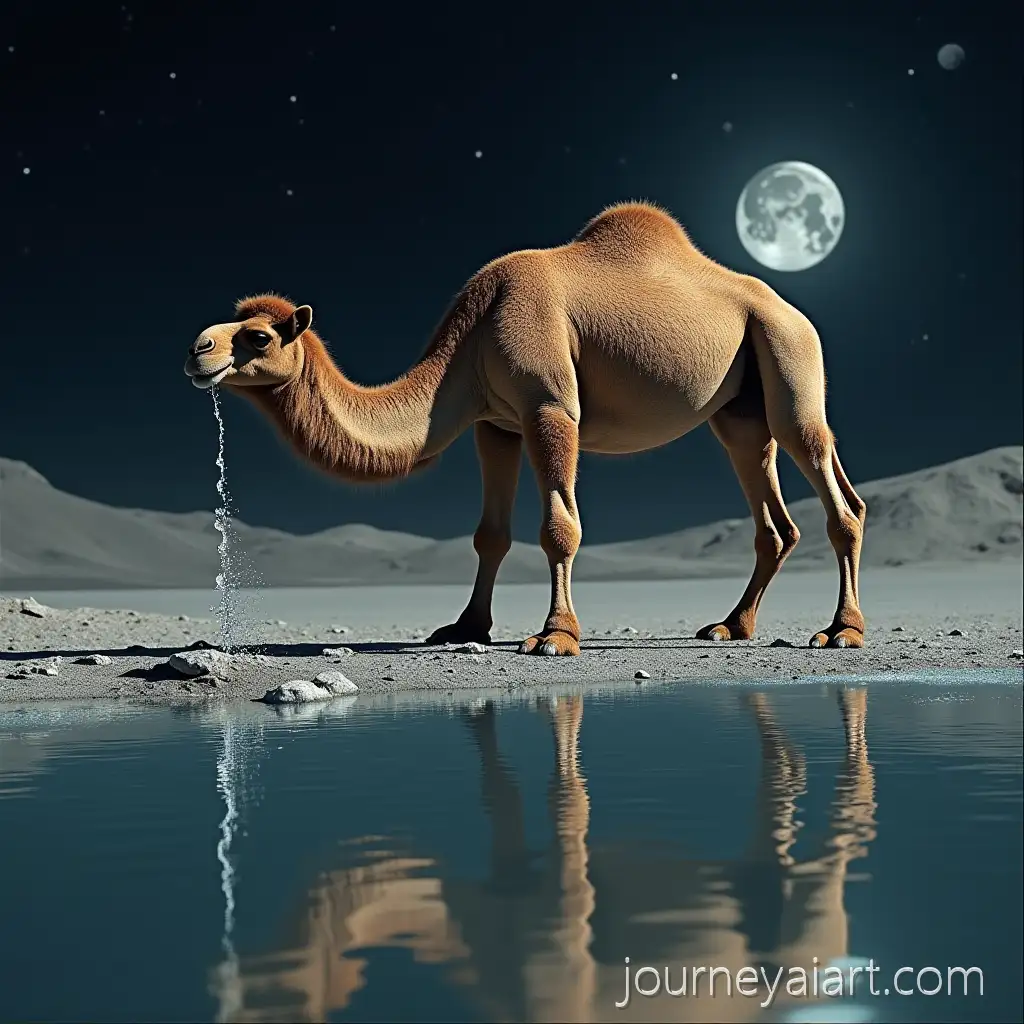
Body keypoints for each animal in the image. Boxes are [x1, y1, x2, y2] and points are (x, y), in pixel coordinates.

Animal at [184, 201, 867, 653]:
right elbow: (490, 535)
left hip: (790, 360)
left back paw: (842, 630)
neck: (474, 333)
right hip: (741, 413)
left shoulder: (548, 405)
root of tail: (791, 309)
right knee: (772, 514)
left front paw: (556, 636)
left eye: (259, 336)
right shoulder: (496, 424)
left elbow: (559, 527)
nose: (197, 349)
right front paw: (464, 628)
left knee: (839, 497)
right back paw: (732, 626)